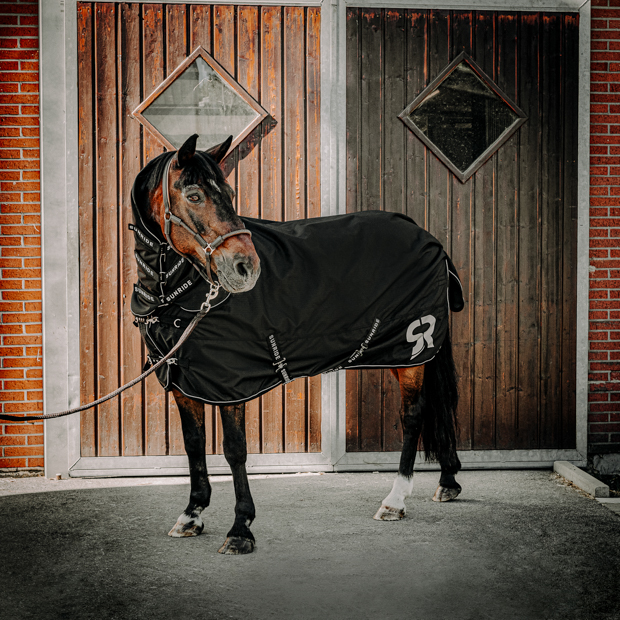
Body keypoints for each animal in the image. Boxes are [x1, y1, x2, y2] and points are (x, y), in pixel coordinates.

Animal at [132, 133, 460, 556]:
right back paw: (448, 481)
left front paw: (240, 529)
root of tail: (428, 237)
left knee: (413, 416)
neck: (181, 294)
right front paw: (191, 515)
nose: (246, 267)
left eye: (230, 193)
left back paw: (395, 500)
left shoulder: (230, 383)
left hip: (411, 352)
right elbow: (193, 444)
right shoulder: (183, 382)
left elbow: (234, 449)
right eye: (193, 195)